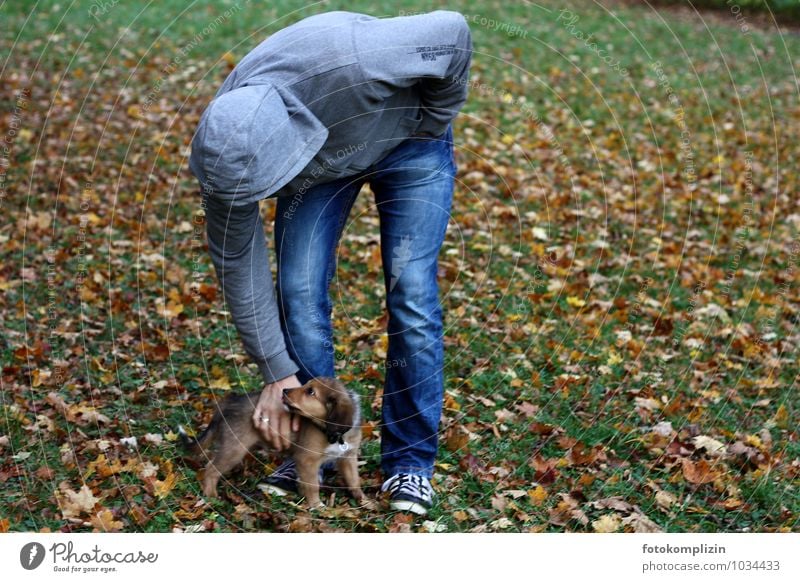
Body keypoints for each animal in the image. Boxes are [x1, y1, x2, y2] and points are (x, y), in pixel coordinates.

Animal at [180, 376, 364, 508]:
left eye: (310, 391)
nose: (284, 390)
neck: (336, 435)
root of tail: (226, 404)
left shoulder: (348, 457)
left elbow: (354, 481)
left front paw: (364, 501)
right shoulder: (307, 459)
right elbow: (312, 486)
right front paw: (316, 506)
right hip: (234, 449)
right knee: (210, 469)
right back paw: (211, 496)